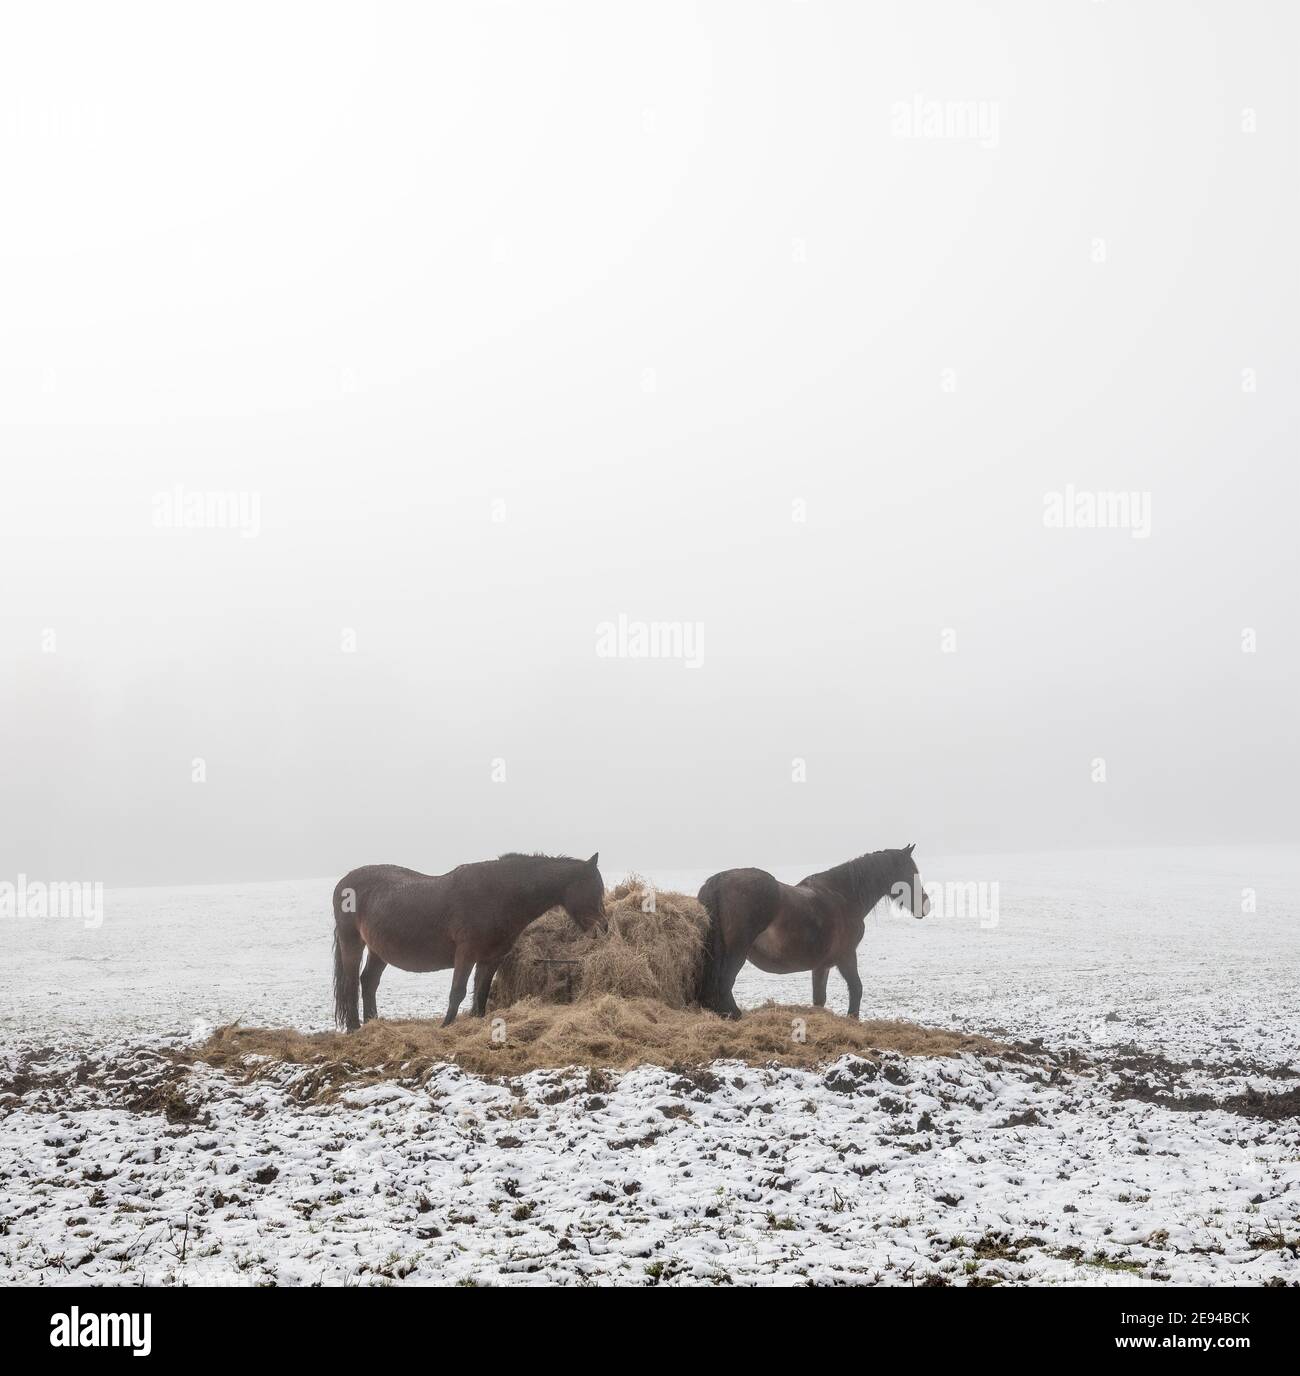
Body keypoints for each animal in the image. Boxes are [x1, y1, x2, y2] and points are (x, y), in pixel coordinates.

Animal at [331, 852, 606, 1030]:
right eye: (594, 889)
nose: (603, 928)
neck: (498, 895)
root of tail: (344, 883)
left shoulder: (491, 958)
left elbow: (481, 992)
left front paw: (476, 1021)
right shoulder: (465, 954)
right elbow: (458, 991)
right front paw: (445, 1027)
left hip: (378, 949)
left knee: (369, 982)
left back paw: (372, 1023)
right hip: (352, 942)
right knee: (351, 983)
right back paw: (355, 1028)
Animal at [695, 844, 930, 1019]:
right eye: (911, 873)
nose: (925, 906)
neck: (843, 896)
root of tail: (718, 882)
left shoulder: (821, 966)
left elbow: (819, 999)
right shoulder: (846, 956)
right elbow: (856, 988)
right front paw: (852, 1019)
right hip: (736, 953)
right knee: (724, 984)